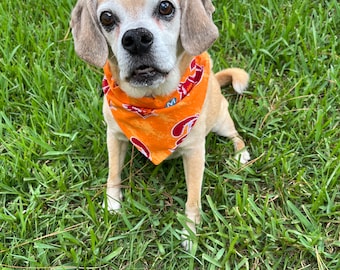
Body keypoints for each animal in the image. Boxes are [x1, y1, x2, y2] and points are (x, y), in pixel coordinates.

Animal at [70, 0, 251, 251]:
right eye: (106, 18)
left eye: (166, 7)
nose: (136, 38)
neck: (152, 102)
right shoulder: (114, 136)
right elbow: (113, 173)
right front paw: (112, 202)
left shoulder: (195, 153)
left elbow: (193, 200)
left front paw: (190, 233)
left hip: (221, 122)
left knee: (235, 134)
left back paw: (241, 153)